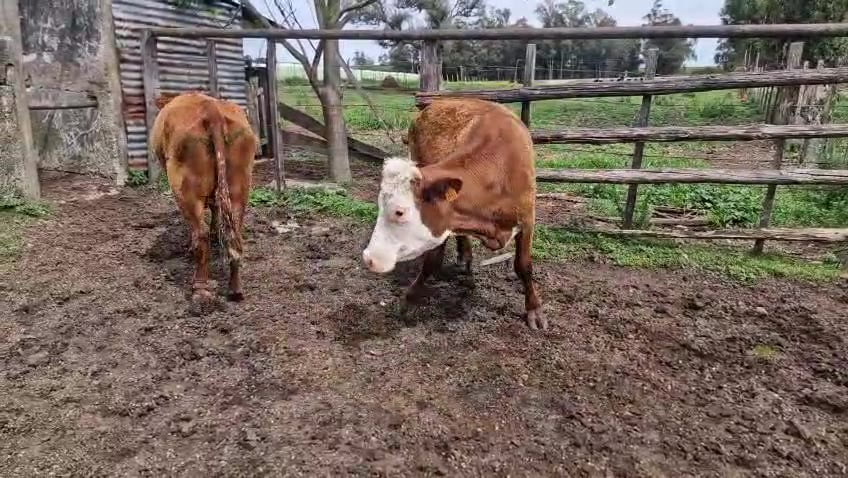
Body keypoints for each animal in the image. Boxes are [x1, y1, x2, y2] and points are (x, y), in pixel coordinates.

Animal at [150, 92, 258, 302]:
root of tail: (212, 109)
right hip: (239, 186)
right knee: (235, 232)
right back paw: (235, 289)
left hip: (185, 187)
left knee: (201, 235)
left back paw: (200, 287)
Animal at [362, 98, 545, 329]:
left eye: (399, 212)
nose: (368, 258)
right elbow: (432, 261)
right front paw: (410, 299)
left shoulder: (528, 219)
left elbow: (524, 265)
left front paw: (534, 310)